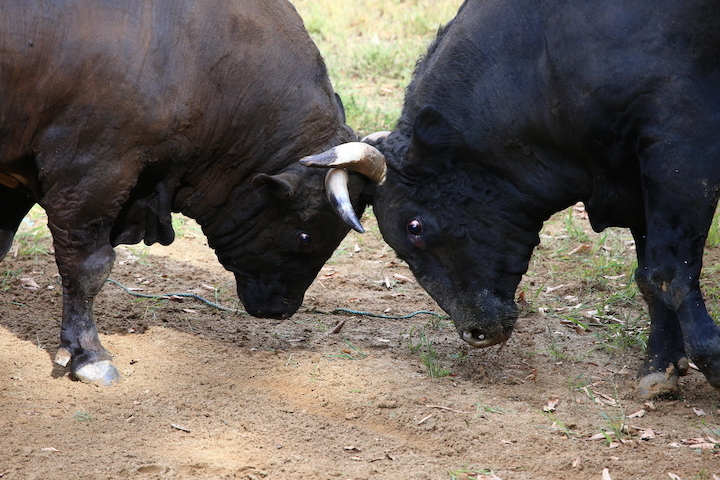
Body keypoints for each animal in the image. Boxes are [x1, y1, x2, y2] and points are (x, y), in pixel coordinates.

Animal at [0, 0, 368, 386]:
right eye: (305, 236)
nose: (282, 309)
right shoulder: (89, 172)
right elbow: (88, 267)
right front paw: (89, 355)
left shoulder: (17, 175)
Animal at [302, 0, 720, 398]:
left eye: (415, 226)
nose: (474, 333)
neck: (543, 58)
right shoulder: (632, 181)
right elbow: (649, 275)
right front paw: (659, 367)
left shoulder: (680, 146)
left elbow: (670, 272)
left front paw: (711, 358)